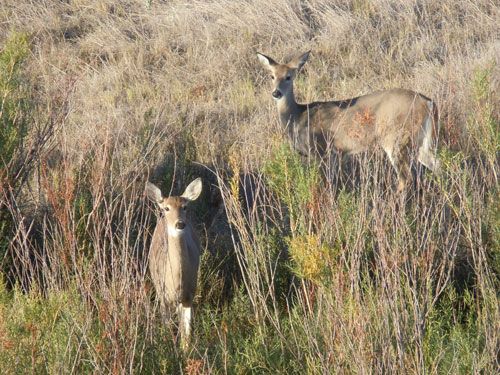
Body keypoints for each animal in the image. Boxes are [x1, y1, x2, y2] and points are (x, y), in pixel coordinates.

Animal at [146, 178, 203, 350]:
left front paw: (185, 352)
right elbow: (167, 329)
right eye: (166, 208)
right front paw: (166, 348)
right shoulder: (163, 296)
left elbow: (187, 335)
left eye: (185, 207)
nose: (180, 224)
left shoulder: (189, 295)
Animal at [258, 51, 442, 192]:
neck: (298, 117)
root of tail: (428, 102)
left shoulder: (322, 151)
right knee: (436, 164)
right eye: (272, 76)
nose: (276, 93)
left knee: (406, 177)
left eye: (288, 77)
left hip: (395, 138)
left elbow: (326, 184)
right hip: (420, 140)